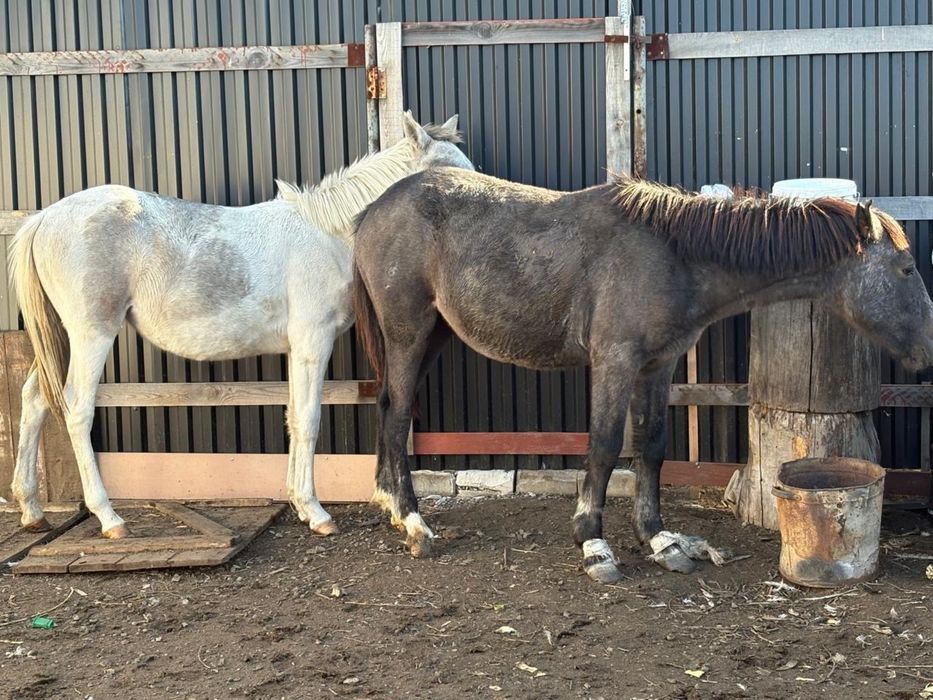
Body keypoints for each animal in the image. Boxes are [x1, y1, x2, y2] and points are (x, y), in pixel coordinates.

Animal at [10, 112, 474, 540]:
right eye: (446, 174)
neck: (328, 233)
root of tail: (43, 218)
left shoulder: (297, 347)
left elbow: (293, 416)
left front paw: (301, 506)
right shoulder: (313, 341)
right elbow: (309, 419)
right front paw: (317, 513)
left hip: (64, 338)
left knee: (34, 398)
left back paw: (32, 510)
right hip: (92, 334)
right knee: (76, 408)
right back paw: (109, 518)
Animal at [351, 167, 933, 583]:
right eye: (906, 269)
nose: (928, 349)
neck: (674, 252)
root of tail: (372, 210)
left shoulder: (658, 364)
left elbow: (650, 445)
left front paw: (660, 540)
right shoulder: (616, 359)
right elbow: (606, 446)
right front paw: (593, 543)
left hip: (433, 334)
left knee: (386, 408)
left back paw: (388, 503)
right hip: (408, 332)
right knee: (399, 415)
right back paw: (413, 521)